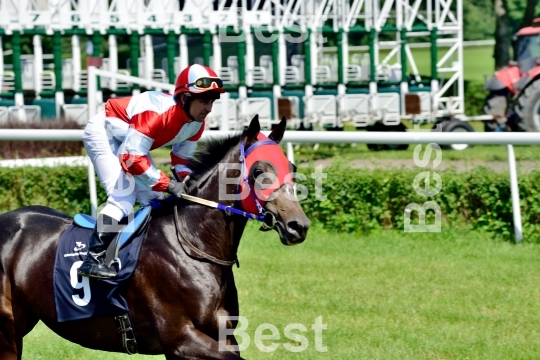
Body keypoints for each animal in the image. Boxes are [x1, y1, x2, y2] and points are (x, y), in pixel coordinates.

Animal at [0, 116, 310, 360]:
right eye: (258, 171)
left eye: (292, 168)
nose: (299, 226)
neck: (192, 246)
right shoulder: (181, 338)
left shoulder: (215, 336)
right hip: (9, 327)